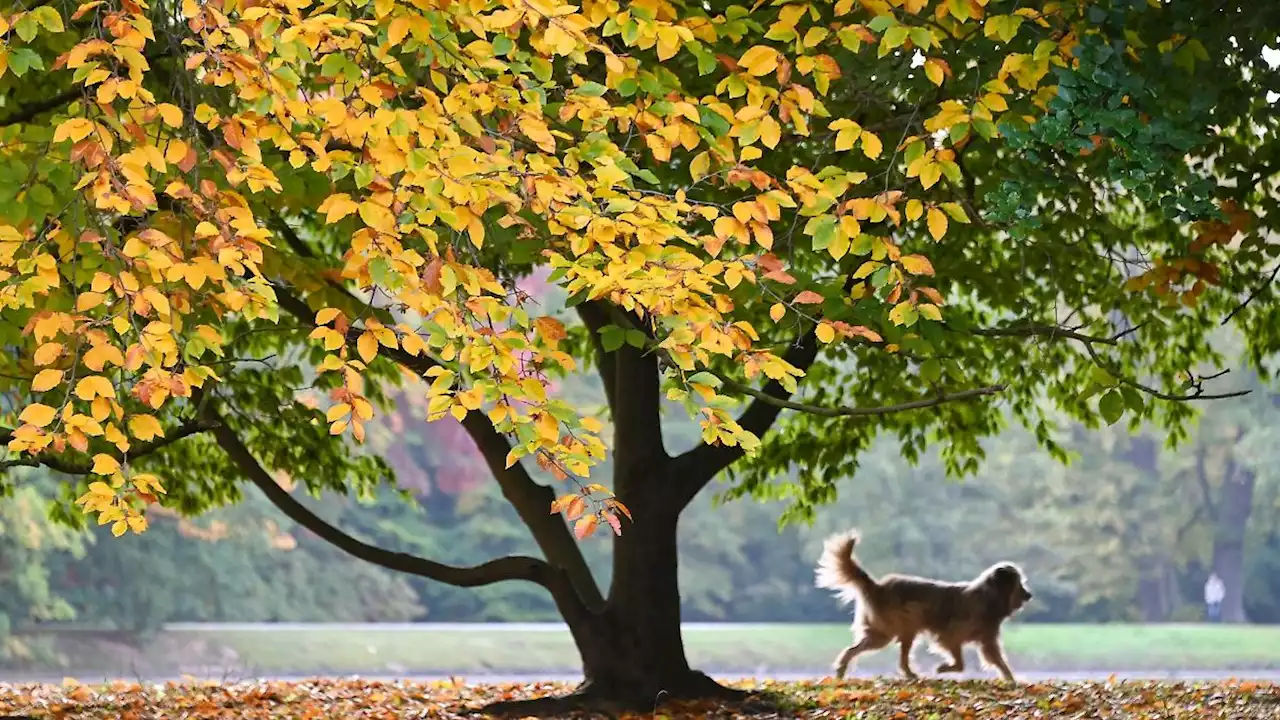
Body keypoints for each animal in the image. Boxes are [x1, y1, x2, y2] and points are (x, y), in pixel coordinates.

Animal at [814, 527, 1034, 676]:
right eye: (1019, 584)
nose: (1029, 595)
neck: (989, 597)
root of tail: (878, 587)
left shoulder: (987, 642)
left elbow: (1000, 663)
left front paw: (1011, 680)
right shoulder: (949, 636)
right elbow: (960, 662)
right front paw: (944, 668)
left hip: (890, 632)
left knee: (862, 651)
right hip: (896, 628)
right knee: (870, 651)